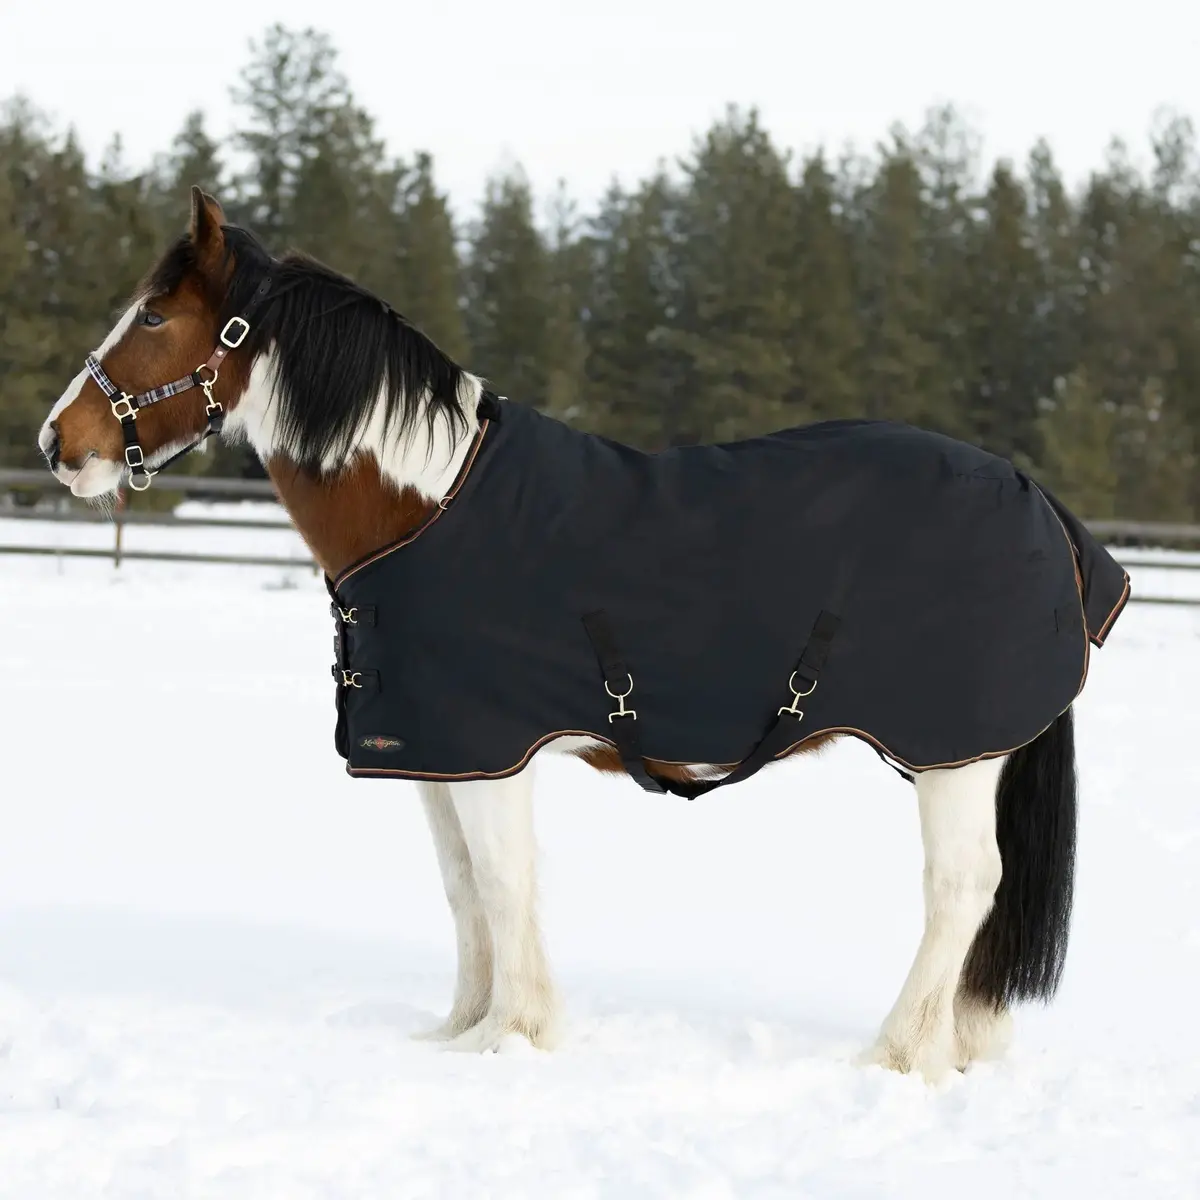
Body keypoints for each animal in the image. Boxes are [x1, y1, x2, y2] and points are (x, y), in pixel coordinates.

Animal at [38, 187, 1129, 1081]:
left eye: (153, 316)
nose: (58, 444)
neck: (430, 508)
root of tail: (1036, 499)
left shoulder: (492, 753)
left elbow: (504, 882)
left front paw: (514, 1036)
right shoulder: (436, 757)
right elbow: (462, 891)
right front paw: (459, 1031)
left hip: (954, 757)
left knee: (963, 887)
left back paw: (896, 1054)